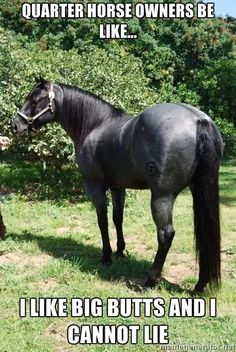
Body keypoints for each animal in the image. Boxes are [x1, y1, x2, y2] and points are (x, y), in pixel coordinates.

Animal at [12, 79, 223, 292]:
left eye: (35, 99)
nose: (15, 125)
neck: (94, 125)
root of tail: (198, 120)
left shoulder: (94, 185)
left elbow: (102, 220)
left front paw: (106, 255)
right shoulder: (118, 187)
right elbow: (117, 218)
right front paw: (120, 251)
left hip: (162, 196)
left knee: (166, 234)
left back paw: (150, 280)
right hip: (197, 191)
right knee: (203, 232)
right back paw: (200, 284)